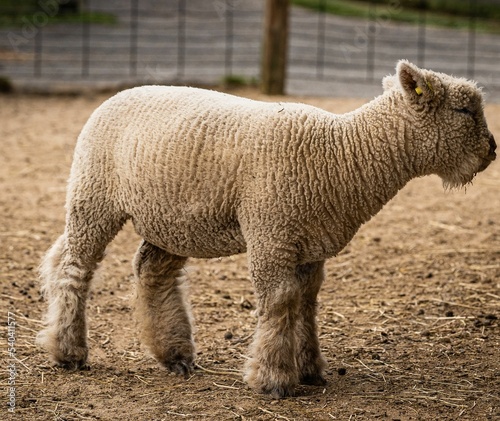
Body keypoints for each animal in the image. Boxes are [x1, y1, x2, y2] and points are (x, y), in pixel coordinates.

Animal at [37, 60, 494, 398]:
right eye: (463, 110)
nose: (492, 150)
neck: (343, 155)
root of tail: (118, 95)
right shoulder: (271, 232)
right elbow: (280, 302)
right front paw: (273, 379)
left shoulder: (309, 244)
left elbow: (306, 303)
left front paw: (309, 369)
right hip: (93, 195)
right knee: (74, 267)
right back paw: (68, 351)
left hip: (171, 217)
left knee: (152, 272)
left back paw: (175, 355)